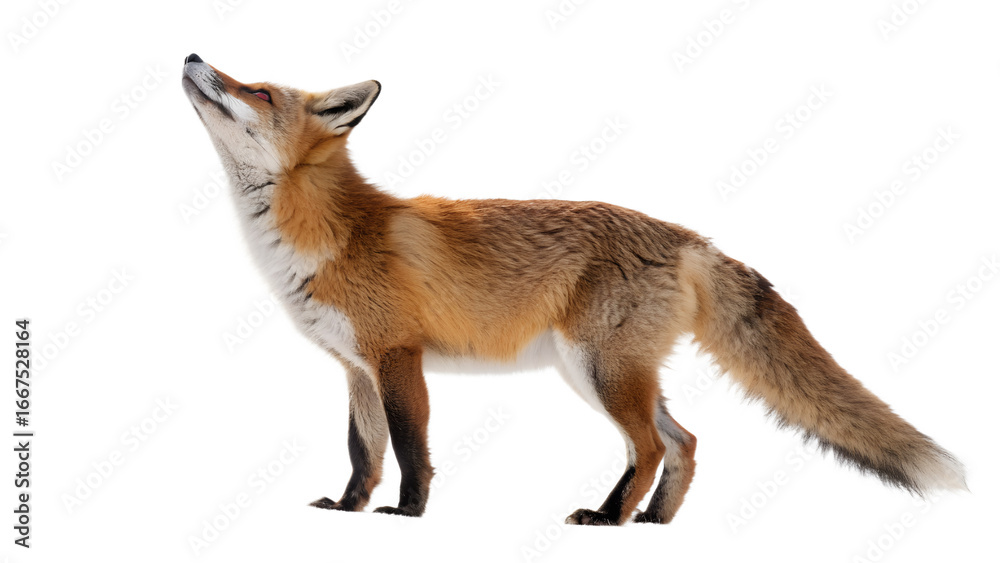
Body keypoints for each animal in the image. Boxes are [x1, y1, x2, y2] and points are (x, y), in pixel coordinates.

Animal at [181, 53, 967, 526]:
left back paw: (609, 518)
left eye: (257, 90)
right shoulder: (355, 367)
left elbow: (408, 445)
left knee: (649, 445)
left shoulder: (398, 356)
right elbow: (362, 450)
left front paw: (408, 513)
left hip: (600, 370)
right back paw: (651, 521)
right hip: (615, 371)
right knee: (683, 440)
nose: (193, 55)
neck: (324, 234)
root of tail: (686, 236)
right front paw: (348, 509)